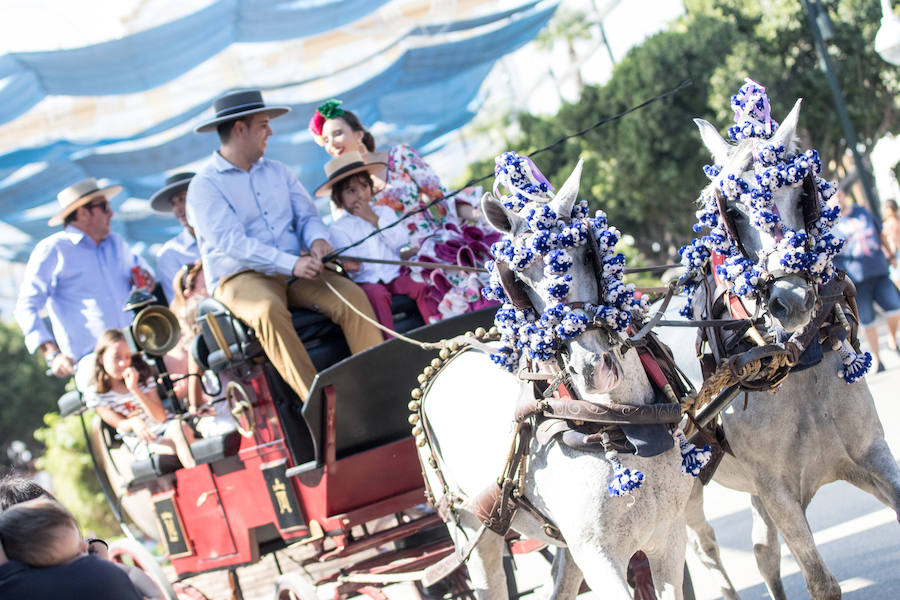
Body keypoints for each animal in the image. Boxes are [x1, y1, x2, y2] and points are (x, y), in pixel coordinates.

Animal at [656, 96, 900, 596]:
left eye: (802, 194)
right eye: (730, 210)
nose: (791, 299)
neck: (797, 365)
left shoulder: (871, 455)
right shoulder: (777, 491)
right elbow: (821, 581)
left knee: (762, 553)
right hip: (688, 493)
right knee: (703, 551)